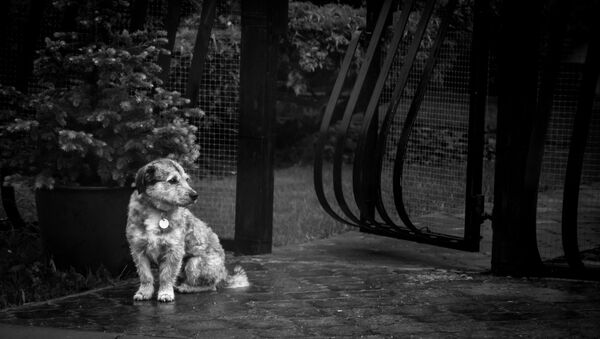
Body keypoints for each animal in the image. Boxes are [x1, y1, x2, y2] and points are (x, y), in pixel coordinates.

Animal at [126, 159, 248, 302]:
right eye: (173, 180)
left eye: (187, 179)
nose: (195, 195)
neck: (158, 211)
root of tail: (223, 273)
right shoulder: (138, 250)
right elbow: (145, 275)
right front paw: (144, 292)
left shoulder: (174, 250)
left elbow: (166, 275)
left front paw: (165, 293)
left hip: (194, 263)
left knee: (211, 286)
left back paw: (187, 288)